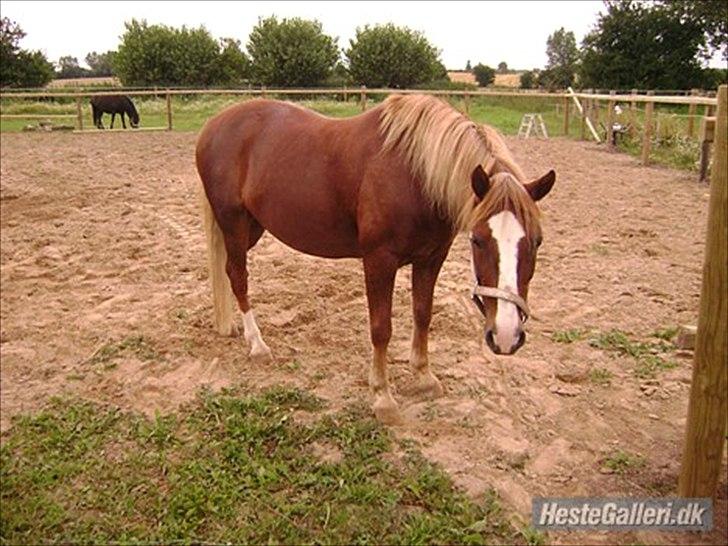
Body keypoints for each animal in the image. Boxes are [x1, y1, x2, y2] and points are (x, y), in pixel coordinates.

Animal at [196, 95, 556, 422]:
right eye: (478, 240)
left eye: (537, 241)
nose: (506, 336)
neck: (415, 175)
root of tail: (212, 126)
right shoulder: (379, 261)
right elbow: (381, 328)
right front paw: (382, 397)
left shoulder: (430, 259)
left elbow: (423, 315)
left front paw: (424, 377)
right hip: (234, 223)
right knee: (238, 276)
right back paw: (257, 344)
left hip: (252, 227)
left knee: (228, 272)